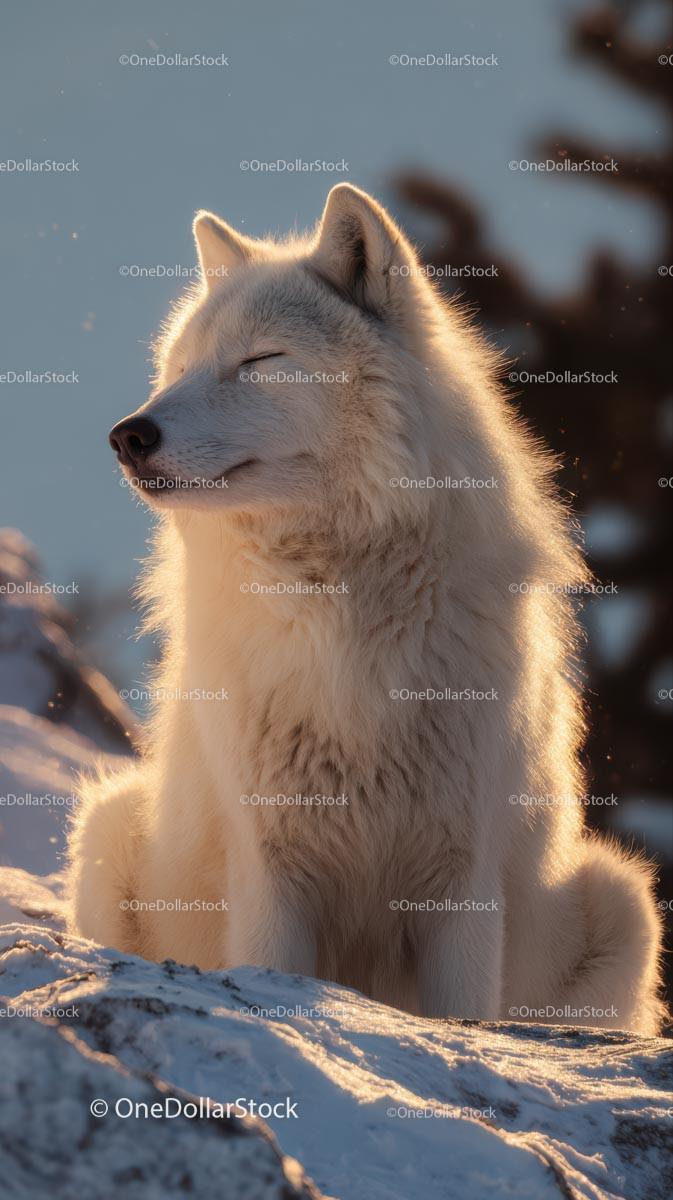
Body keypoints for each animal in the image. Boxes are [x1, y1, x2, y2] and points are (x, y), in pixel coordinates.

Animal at [67, 184, 665, 1033]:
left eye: (259, 361)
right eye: (179, 369)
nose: (128, 435)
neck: (333, 605)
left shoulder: (460, 880)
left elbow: (463, 1016)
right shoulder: (272, 873)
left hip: (622, 899)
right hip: (108, 826)